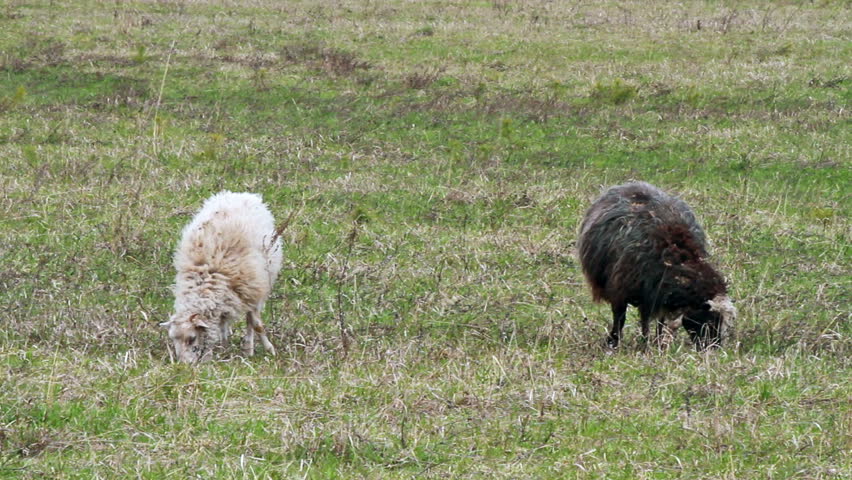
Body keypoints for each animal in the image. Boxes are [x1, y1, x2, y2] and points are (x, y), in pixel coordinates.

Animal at [161, 191, 282, 363]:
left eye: (192, 338)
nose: (184, 365)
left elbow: (256, 324)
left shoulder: (251, 291)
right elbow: (222, 324)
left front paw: (269, 349)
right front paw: (223, 348)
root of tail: (239, 194)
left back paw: (249, 348)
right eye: (173, 339)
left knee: (249, 322)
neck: (206, 277)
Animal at [577, 181, 735, 350]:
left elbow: (659, 320)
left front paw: (656, 343)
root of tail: (632, 183)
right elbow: (620, 318)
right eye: (711, 320)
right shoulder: (621, 291)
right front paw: (614, 342)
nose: (714, 349)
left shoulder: (656, 294)